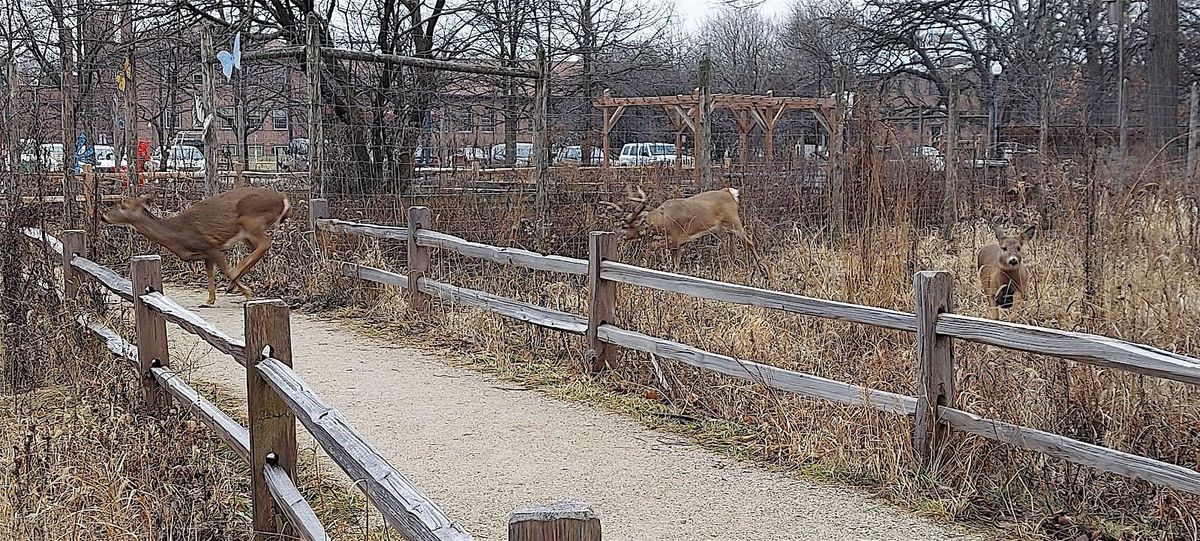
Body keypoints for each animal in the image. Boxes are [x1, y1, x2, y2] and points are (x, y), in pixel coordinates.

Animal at [102, 185, 290, 307]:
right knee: (260, 249)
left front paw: (247, 293)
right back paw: (232, 284)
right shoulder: (207, 254)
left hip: (252, 221)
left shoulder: (212, 246)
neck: (177, 237)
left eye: (122, 204)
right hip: (248, 233)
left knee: (265, 243)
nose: (103, 216)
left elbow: (225, 270)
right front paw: (209, 300)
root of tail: (283, 199)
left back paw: (234, 281)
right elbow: (209, 273)